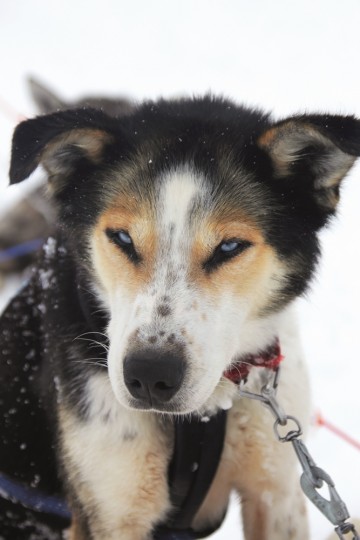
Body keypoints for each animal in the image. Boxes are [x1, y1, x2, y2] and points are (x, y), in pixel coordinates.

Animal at [1, 97, 358, 540]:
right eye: (122, 237)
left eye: (230, 246)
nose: (149, 375)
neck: (204, 415)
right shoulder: (111, 512)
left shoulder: (276, 491)